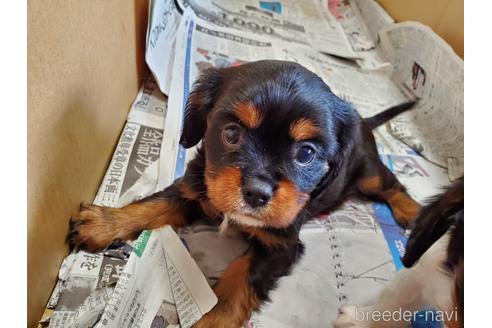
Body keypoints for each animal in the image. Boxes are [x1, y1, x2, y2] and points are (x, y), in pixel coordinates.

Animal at [68, 60, 418, 326]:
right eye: (232, 134)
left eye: (306, 154)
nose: (256, 194)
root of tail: (364, 122)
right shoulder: (194, 187)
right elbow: (154, 205)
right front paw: (103, 223)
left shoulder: (281, 246)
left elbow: (241, 277)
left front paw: (212, 321)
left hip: (368, 171)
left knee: (392, 184)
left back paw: (414, 214)